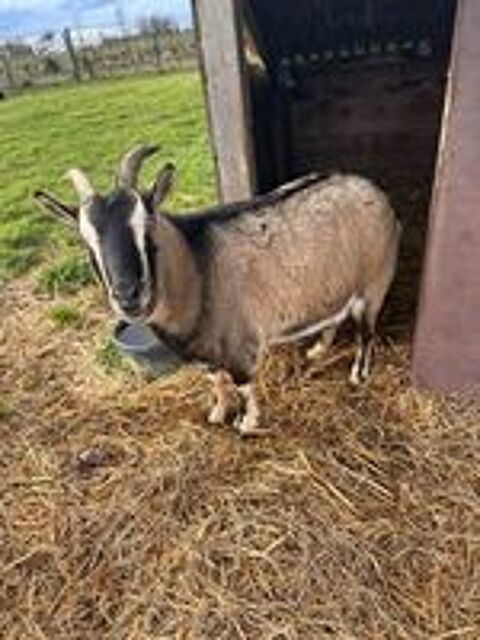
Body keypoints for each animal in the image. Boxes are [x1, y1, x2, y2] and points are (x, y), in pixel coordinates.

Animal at [35, 144, 400, 435]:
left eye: (147, 227)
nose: (128, 296)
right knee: (334, 316)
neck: (197, 268)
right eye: (85, 242)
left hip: (373, 283)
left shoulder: (241, 347)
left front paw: (247, 423)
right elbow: (216, 381)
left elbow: (244, 386)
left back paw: (357, 375)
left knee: (366, 332)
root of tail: (376, 191)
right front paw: (217, 413)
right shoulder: (205, 350)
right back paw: (317, 350)